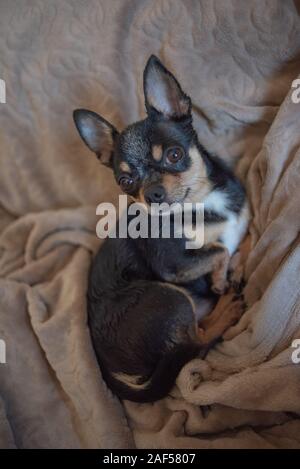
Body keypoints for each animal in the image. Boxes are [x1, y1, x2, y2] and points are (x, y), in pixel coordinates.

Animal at [73, 54, 248, 398]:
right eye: (125, 182)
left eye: (174, 155)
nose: (152, 193)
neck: (203, 204)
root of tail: (109, 368)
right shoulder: (174, 264)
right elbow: (219, 249)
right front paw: (220, 279)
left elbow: (235, 243)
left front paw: (234, 265)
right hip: (168, 296)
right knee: (193, 347)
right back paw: (225, 311)